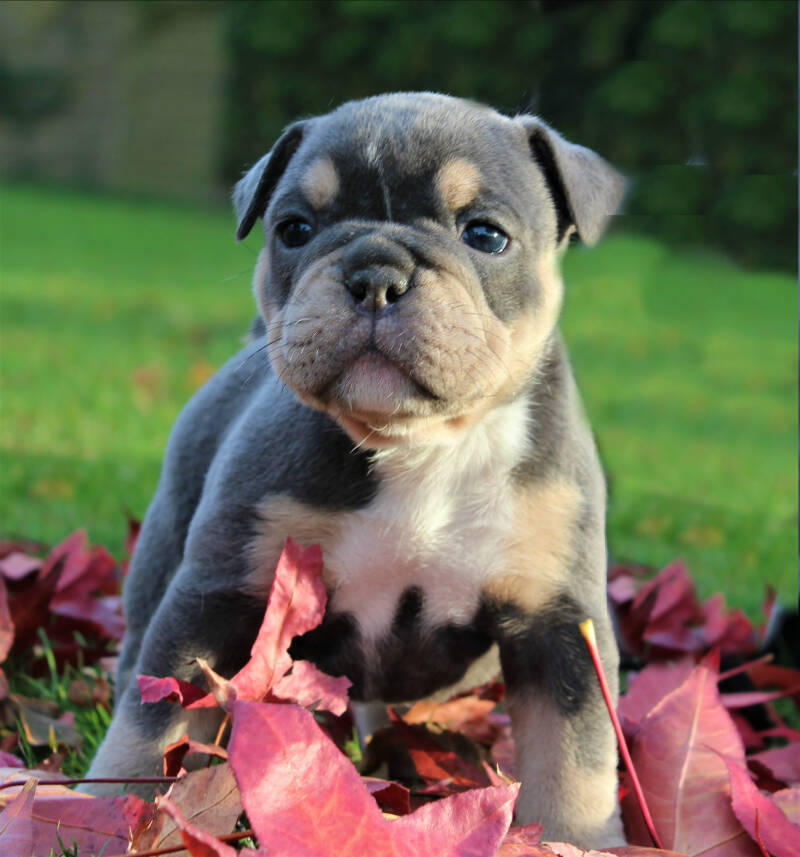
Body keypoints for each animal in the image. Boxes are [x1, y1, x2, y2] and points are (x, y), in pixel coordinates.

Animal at [86, 93, 626, 847]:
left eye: (486, 236)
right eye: (294, 229)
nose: (375, 271)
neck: (419, 442)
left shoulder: (558, 627)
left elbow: (574, 759)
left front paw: (575, 842)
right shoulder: (218, 594)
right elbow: (151, 724)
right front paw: (100, 812)